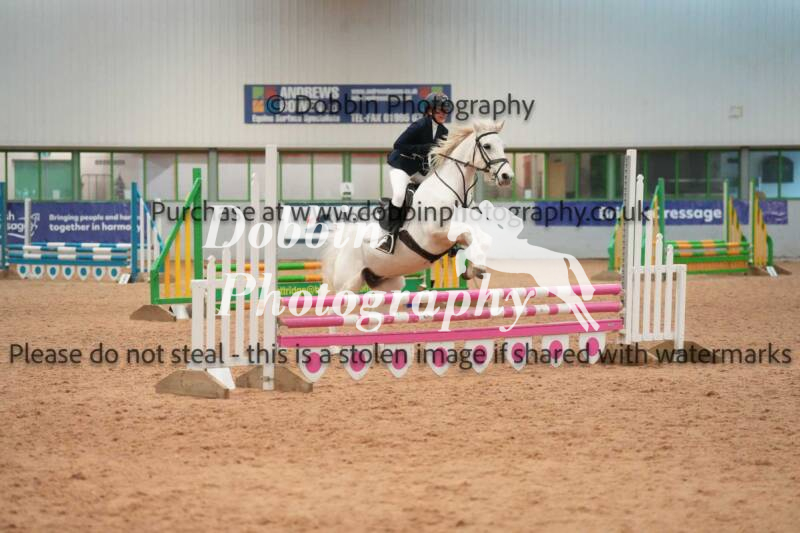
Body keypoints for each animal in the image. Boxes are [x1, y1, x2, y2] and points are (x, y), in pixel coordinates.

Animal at [322, 120, 514, 293]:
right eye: (487, 146)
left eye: (502, 146)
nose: (507, 176)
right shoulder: (435, 232)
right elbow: (467, 232)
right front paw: (477, 268)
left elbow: (479, 237)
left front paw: (473, 269)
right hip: (348, 284)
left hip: (387, 282)